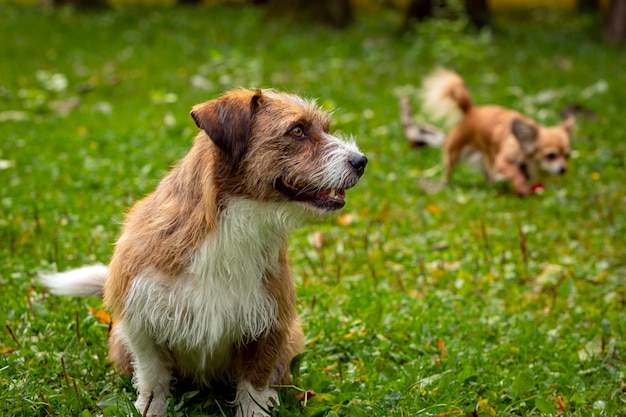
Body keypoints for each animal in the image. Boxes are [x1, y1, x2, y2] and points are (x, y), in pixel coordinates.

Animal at [41, 88, 366, 416]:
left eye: (325, 128)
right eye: (297, 130)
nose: (361, 161)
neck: (234, 226)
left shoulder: (269, 324)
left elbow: (254, 384)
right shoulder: (140, 322)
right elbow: (153, 378)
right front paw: (150, 408)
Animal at [420, 68, 572, 197]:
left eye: (567, 156)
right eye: (551, 155)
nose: (563, 169)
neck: (521, 143)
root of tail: (472, 110)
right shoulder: (502, 162)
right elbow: (516, 173)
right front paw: (521, 188)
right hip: (455, 153)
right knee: (448, 170)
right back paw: (445, 184)